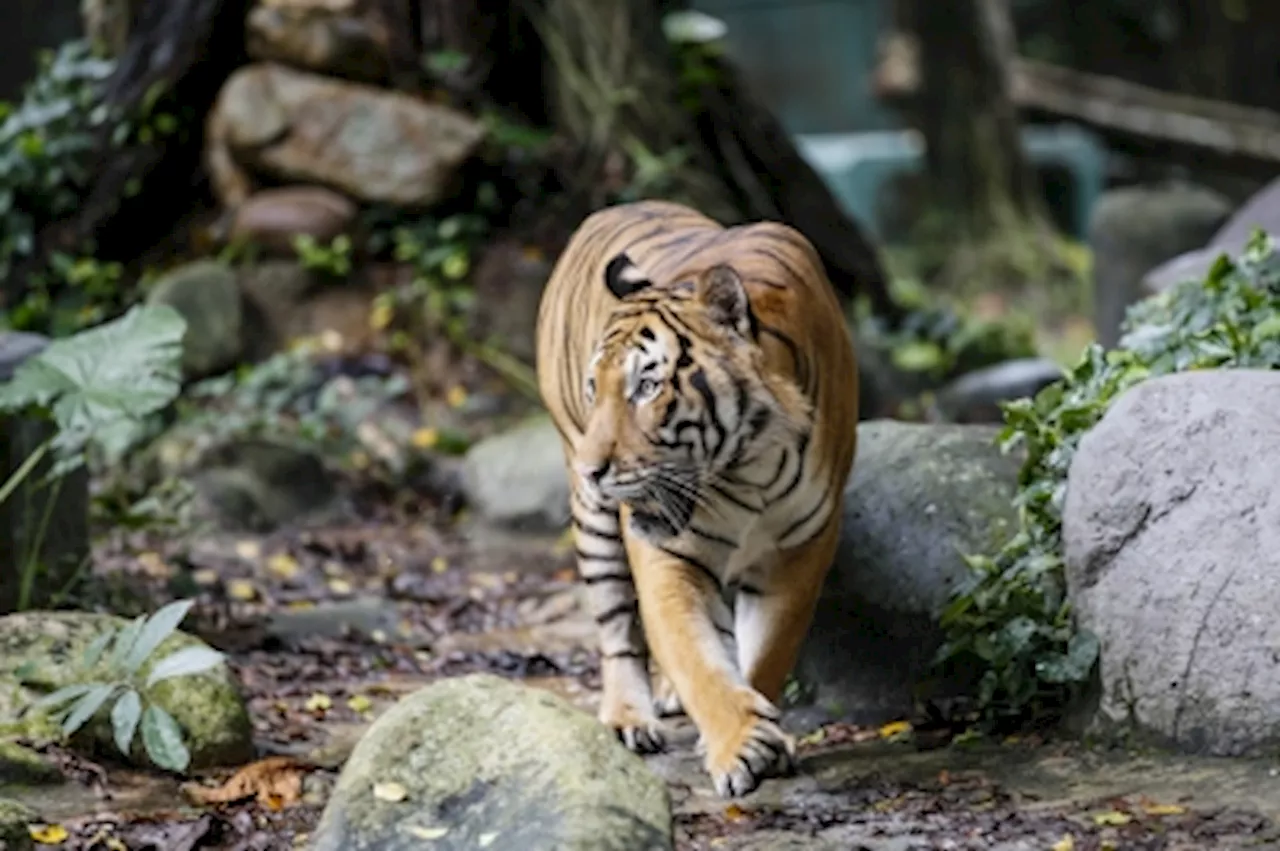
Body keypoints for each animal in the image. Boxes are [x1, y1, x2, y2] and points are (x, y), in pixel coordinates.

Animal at [532, 199, 860, 798]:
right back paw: (629, 719)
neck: (750, 465)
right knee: (617, 625)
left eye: (646, 387)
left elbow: (764, 651)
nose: (593, 470)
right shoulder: (668, 555)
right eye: (596, 389)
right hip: (592, 519)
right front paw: (741, 745)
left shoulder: (801, 548)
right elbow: (694, 655)